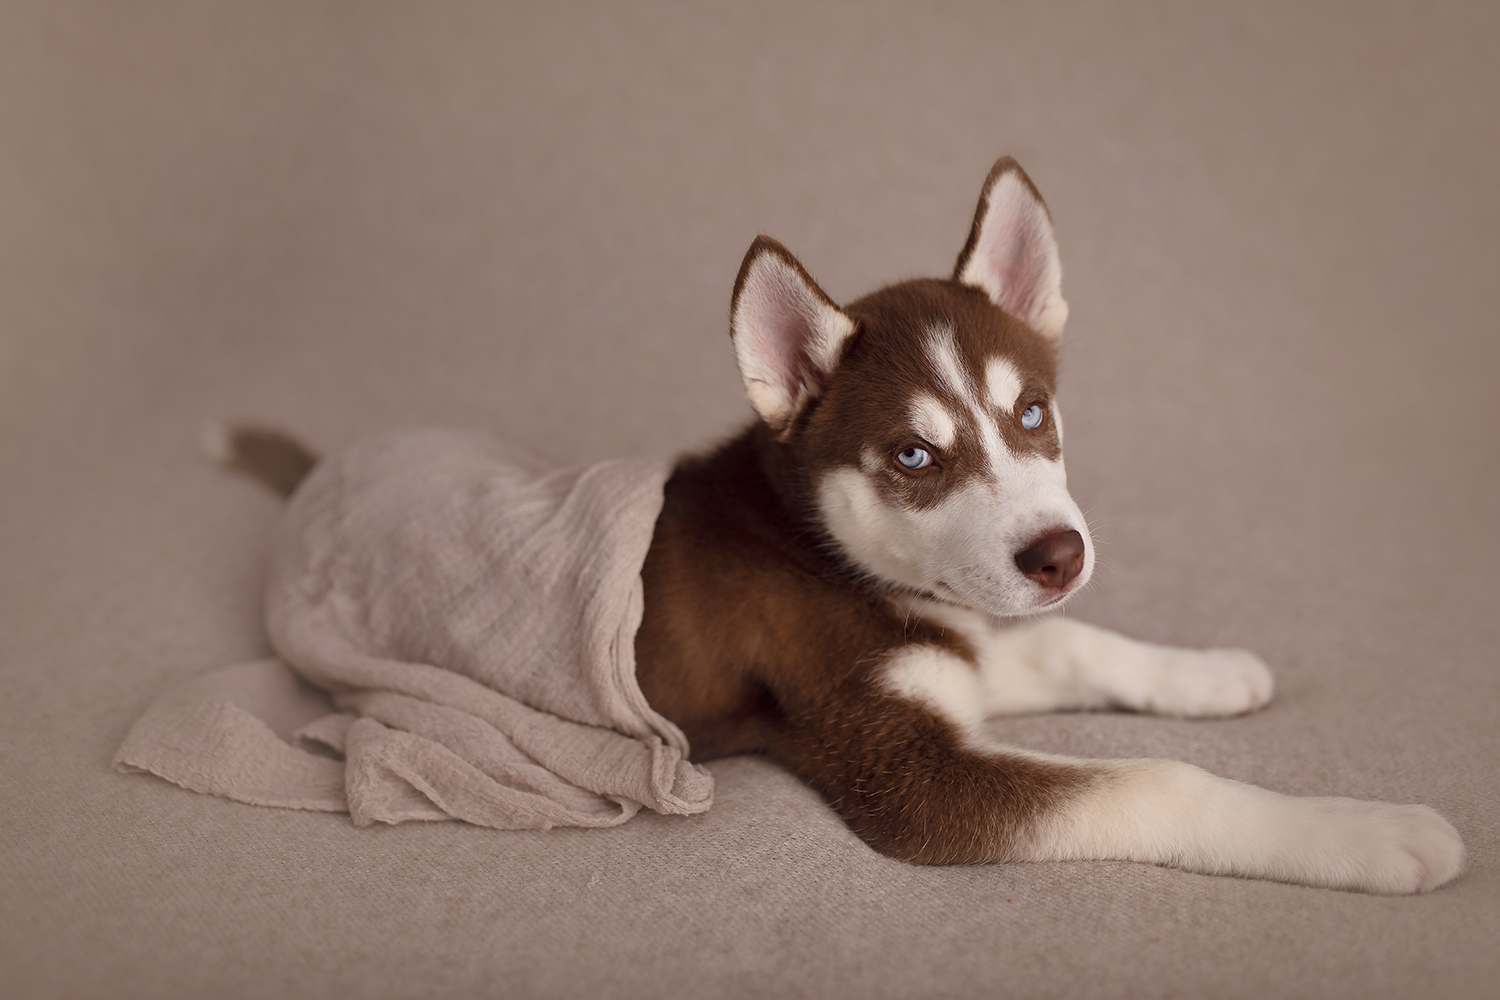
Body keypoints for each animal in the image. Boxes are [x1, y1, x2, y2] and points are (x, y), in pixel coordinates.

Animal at [633, 160, 1464, 893]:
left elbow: (1069, 639)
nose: (1060, 556)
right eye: (914, 456)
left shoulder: (962, 641)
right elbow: (1162, 784)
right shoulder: (903, 767)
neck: (817, 549)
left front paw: (1207, 672)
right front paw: (1371, 833)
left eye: (1031, 413)